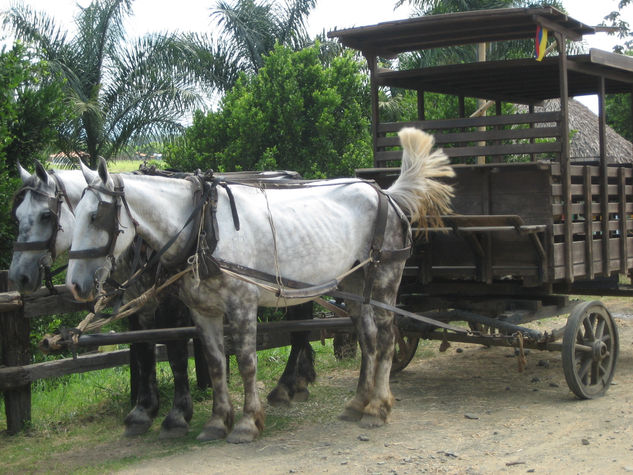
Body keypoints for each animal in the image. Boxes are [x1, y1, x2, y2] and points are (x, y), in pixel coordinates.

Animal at [65, 128, 454, 444]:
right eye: (74, 215)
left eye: (96, 216)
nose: (74, 285)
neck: (203, 227)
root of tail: (386, 194)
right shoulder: (203, 311)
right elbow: (216, 364)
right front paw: (217, 422)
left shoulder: (242, 304)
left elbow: (246, 362)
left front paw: (247, 423)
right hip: (356, 284)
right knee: (367, 338)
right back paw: (359, 403)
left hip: (386, 278)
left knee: (387, 338)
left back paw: (378, 408)